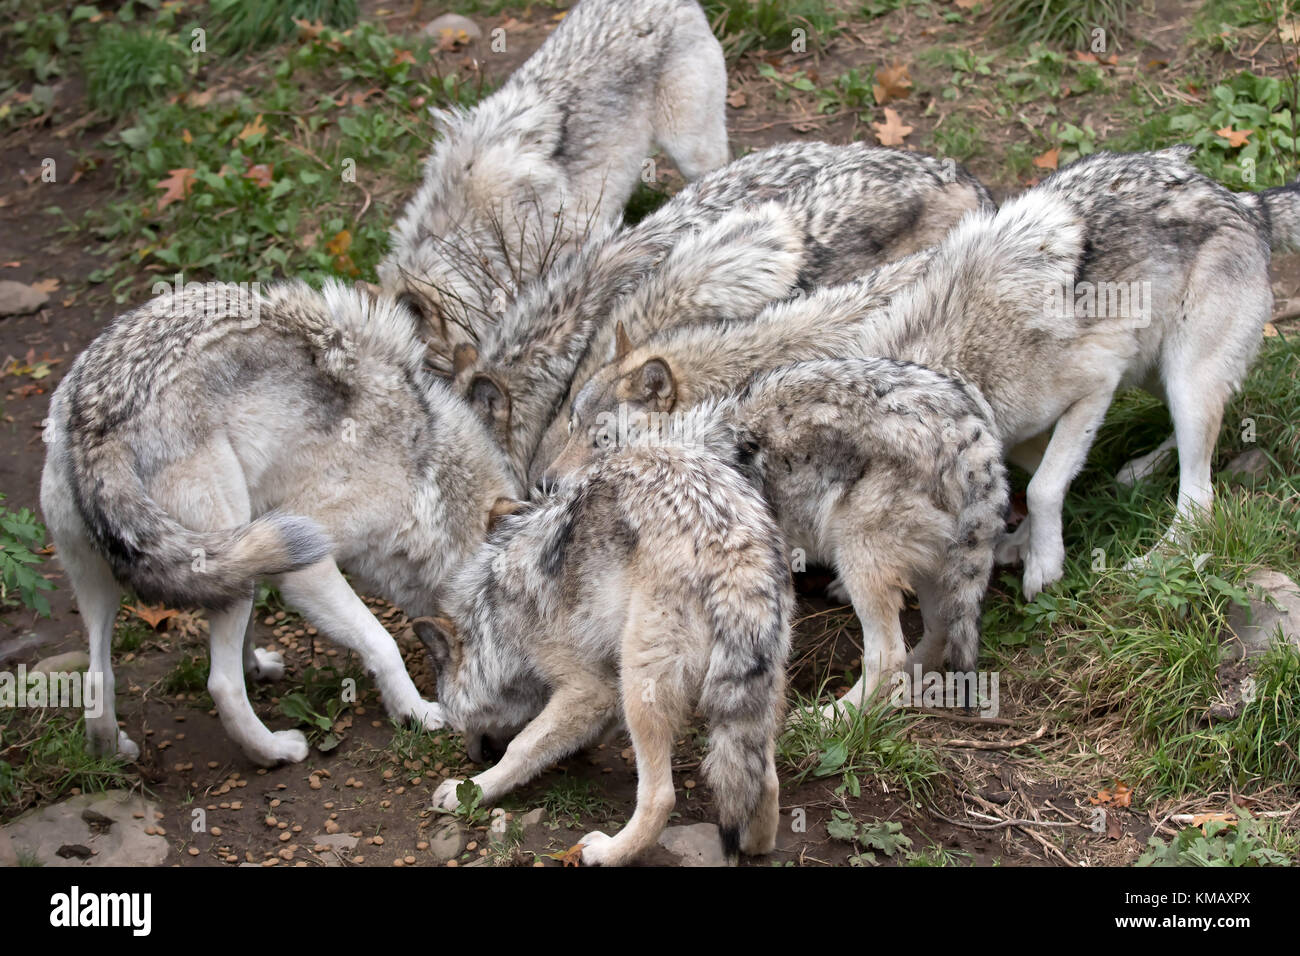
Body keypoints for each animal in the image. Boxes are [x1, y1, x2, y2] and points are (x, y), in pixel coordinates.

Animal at [40, 280, 517, 764]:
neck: (425, 471)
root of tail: (97, 424)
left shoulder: (261, 549)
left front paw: (257, 665)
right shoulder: (307, 565)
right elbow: (382, 643)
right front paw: (416, 711)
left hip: (120, 577)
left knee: (97, 677)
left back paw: (112, 750)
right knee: (221, 685)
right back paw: (276, 751)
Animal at [426, 437, 790, 868]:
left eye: (457, 721)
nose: (472, 758)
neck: (492, 612)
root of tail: (736, 548)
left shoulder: (592, 689)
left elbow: (520, 748)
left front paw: (471, 789)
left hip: (639, 688)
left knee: (660, 798)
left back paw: (606, 851)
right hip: (755, 694)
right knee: (765, 781)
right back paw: (753, 845)